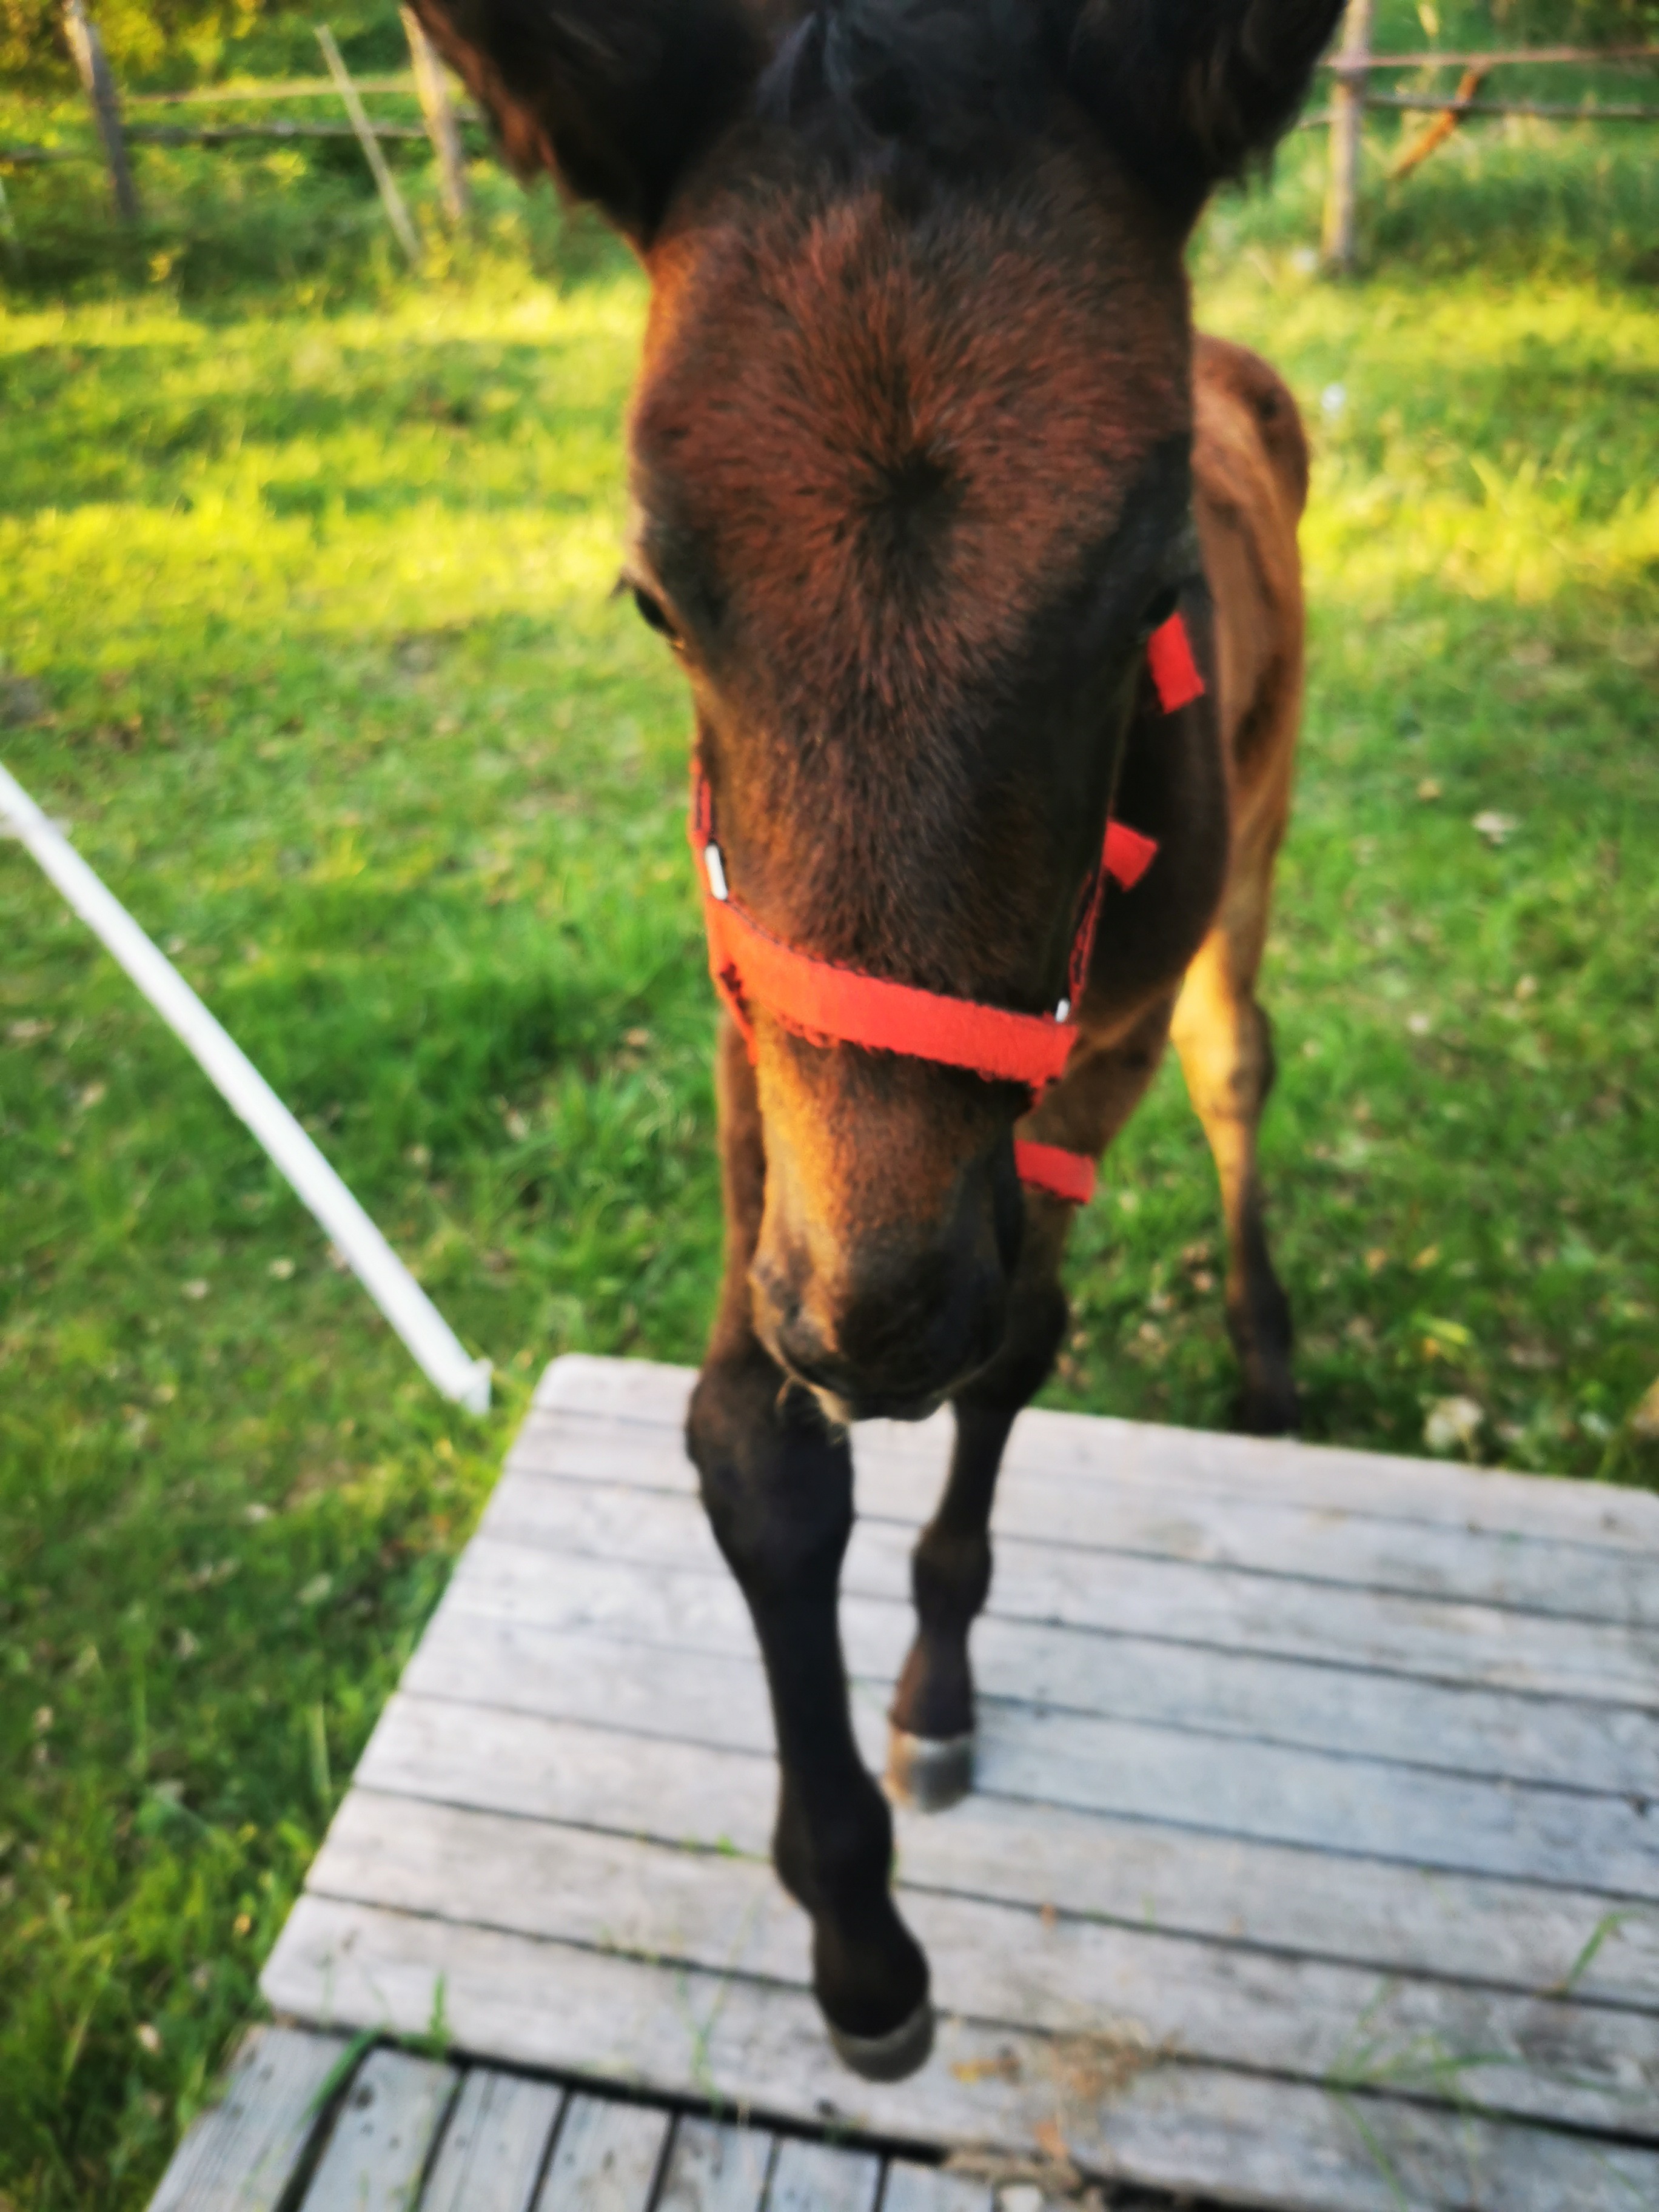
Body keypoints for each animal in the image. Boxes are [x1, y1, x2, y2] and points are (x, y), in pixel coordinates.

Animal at [413, 0, 1340, 2082]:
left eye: (1149, 584)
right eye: (656, 595)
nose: (874, 1331)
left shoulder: (1082, 1050)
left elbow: (1018, 1341)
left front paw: (931, 1691)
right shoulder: (748, 1004)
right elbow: (751, 1438)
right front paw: (843, 1920)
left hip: (1258, 837)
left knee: (1240, 1063)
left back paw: (1261, 1343)